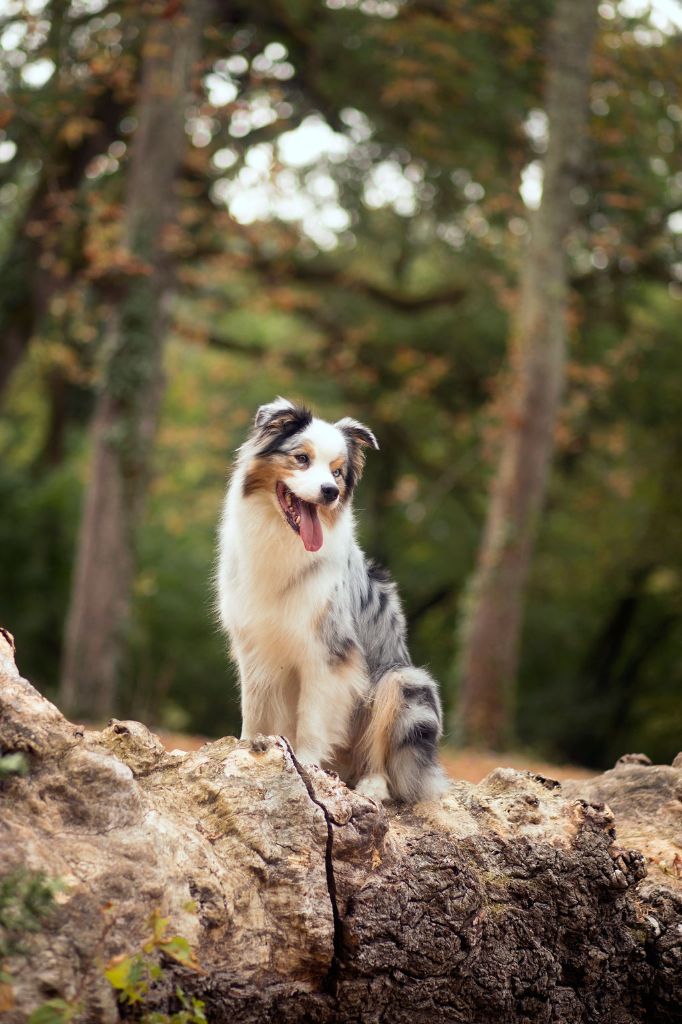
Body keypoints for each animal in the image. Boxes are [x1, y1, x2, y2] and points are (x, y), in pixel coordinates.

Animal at [215, 395, 444, 802]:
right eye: (301, 459)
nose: (329, 492)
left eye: (337, 473)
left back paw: (372, 784)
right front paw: (247, 750)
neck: (281, 540)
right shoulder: (253, 645)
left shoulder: (329, 652)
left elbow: (312, 718)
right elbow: (253, 710)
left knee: (383, 754)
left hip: (402, 680)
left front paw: (305, 765)